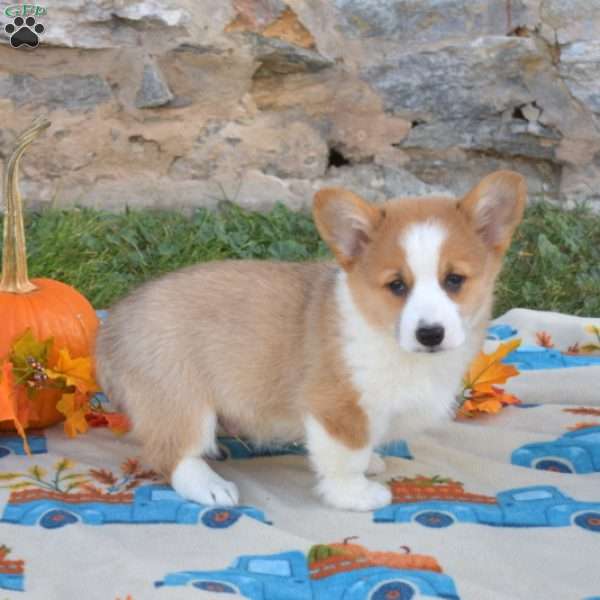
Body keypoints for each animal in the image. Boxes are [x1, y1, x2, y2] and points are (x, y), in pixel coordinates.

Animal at [95, 169, 524, 510]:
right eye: (397, 285)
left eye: (454, 280)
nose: (430, 333)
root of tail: (111, 326)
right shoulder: (336, 409)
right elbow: (346, 457)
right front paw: (356, 495)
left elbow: (365, 445)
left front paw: (372, 463)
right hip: (181, 397)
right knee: (172, 454)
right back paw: (210, 486)